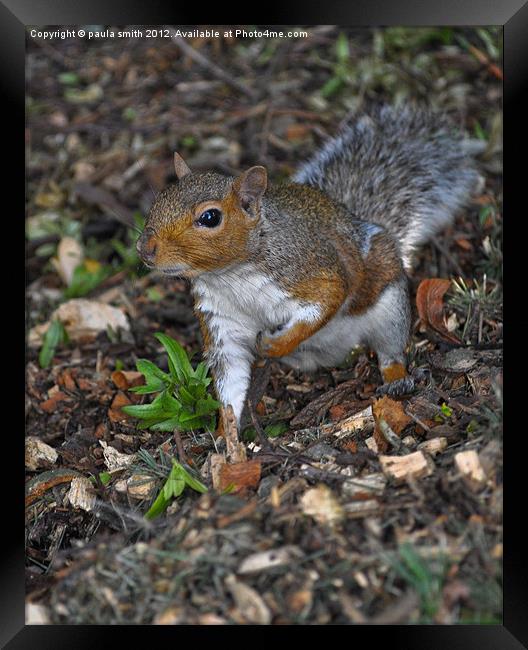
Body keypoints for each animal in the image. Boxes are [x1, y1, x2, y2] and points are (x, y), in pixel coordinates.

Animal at [136, 105, 482, 430]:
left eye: (210, 217)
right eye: (158, 200)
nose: (145, 248)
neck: (231, 276)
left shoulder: (310, 273)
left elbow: (325, 303)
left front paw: (275, 344)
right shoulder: (222, 323)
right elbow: (230, 382)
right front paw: (228, 437)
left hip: (390, 307)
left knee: (390, 348)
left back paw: (396, 376)